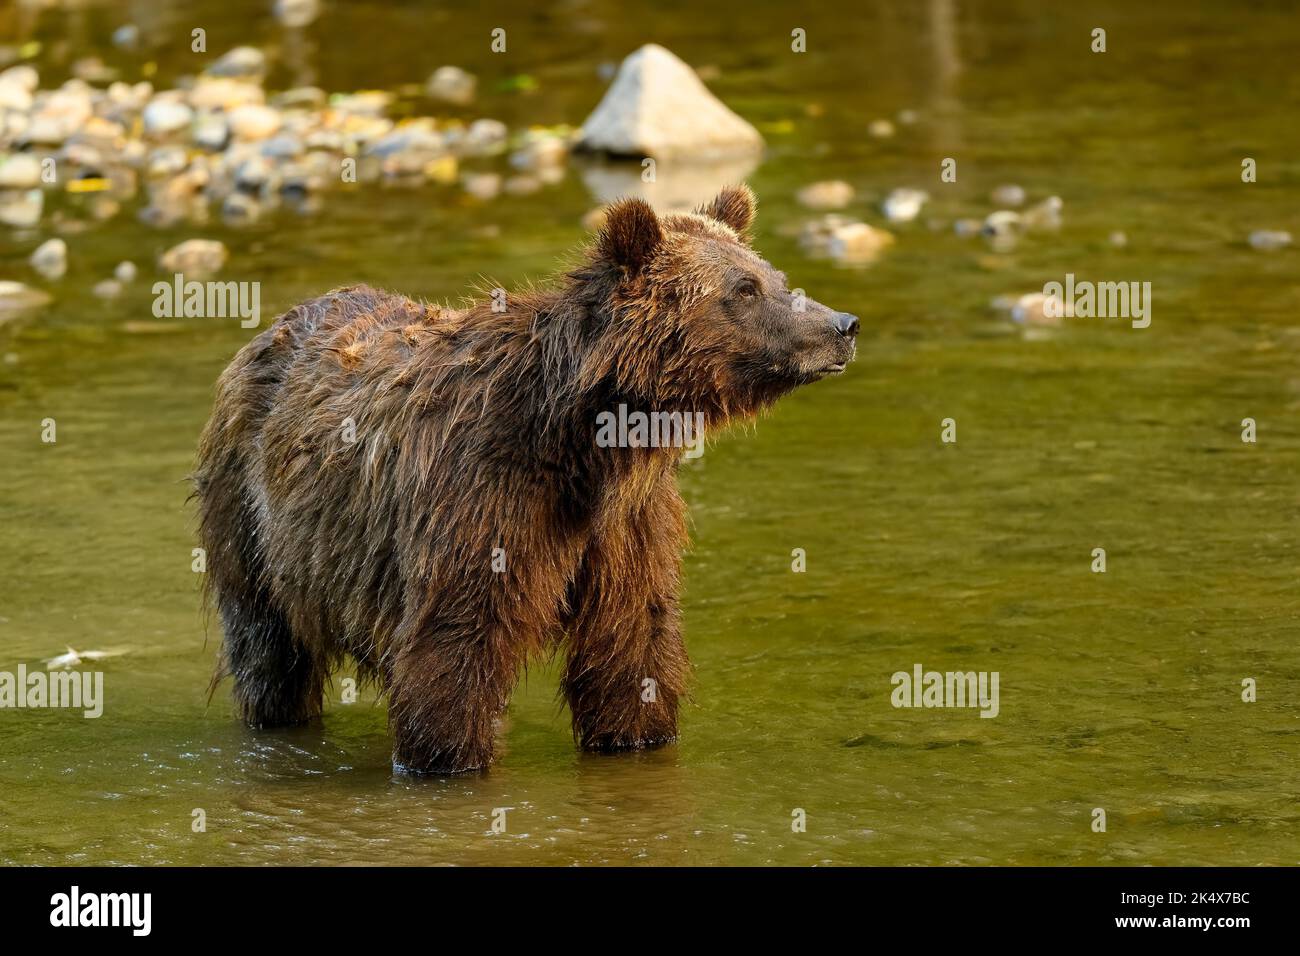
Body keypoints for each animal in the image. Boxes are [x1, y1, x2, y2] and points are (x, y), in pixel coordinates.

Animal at [192, 187, 857, 780]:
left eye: (774, 276)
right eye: (743, 290)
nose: (843, 325)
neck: (588, 439)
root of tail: (274, 325)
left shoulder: (626, 522)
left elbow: (632, 639)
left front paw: (636, 734)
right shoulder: (486, 496)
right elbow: (457, 640)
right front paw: (445, 757)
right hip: (256, 518)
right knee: (269, 648)